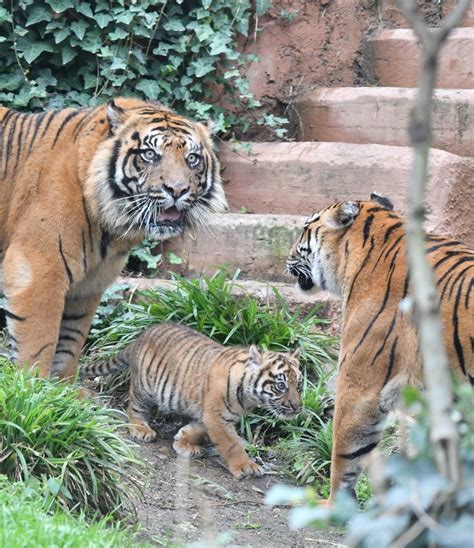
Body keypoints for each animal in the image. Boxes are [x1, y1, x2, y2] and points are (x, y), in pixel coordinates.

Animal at [0, 97, 228, 382]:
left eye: (192, 159)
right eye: (150, 154)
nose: (177, 190)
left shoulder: (89, 282)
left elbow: (70, 338)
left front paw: (64, 388)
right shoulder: (38, 268)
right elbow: (38, 341)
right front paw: (34, 385)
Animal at [80, 324, 302, 478]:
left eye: (298, 385)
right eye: (280, 385)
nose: (298, 407)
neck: (249, 397)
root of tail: (140, 336)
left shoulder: (209, 415)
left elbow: (198, 429)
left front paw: (182, 441)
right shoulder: (216, 417)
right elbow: (231, 444)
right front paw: (246, 466)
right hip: (144, 388)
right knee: (134, 408)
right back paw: (140, 429)